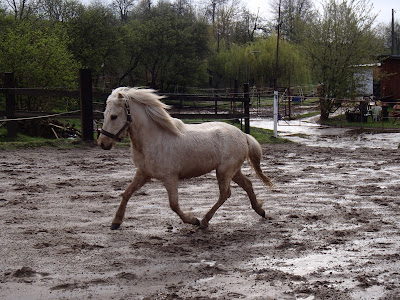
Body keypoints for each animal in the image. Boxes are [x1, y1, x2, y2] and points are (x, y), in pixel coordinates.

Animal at [97, 86, 274, 230]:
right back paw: (261, 211)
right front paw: (116, 222)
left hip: (224, 171)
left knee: (225, 194)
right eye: (105, 114)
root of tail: (243, 135)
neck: (154, 138)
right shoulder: (143, 173)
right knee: (247, 185)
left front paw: (192, 220)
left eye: (114, 116)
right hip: (232, 171)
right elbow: (126, 193)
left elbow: (174, 205)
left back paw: (204, 221)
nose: (102, 143)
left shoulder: (170, 178)